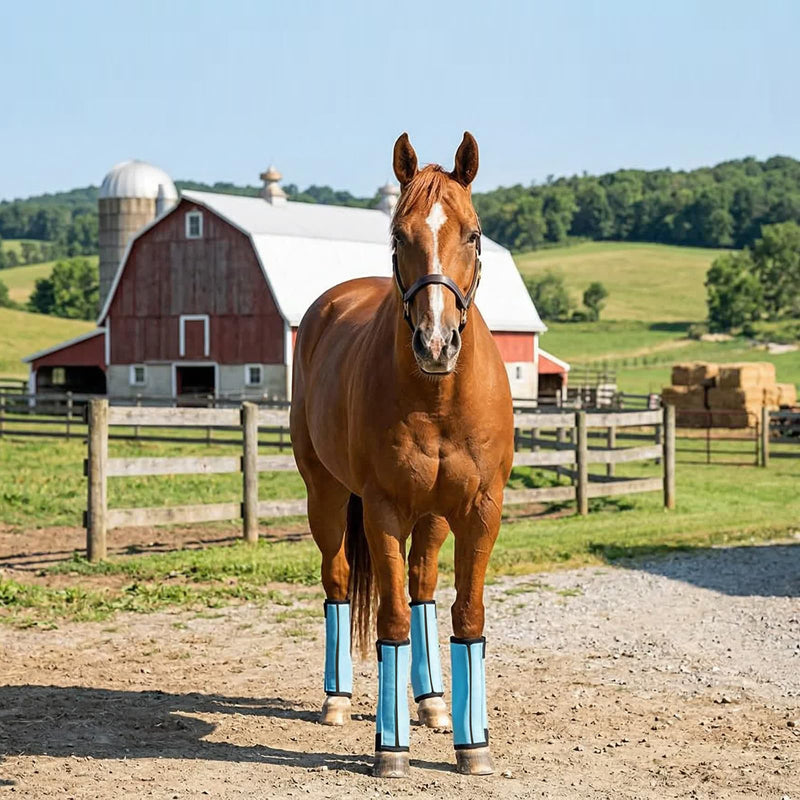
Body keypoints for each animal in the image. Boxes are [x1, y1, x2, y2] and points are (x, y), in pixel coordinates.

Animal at [289, 131, 514, 778]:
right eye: (398, 236)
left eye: (473, 233)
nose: (436, 344)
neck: (436, 398)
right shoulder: (384, 509)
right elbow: (389, 620)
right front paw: (390, 750)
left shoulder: (479, 511)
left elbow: (466, 615)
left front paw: (472, 744)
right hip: (326, 497)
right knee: (339, 581)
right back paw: (337, 701)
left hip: (434, 514)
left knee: (422, 586)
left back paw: (435, 701)